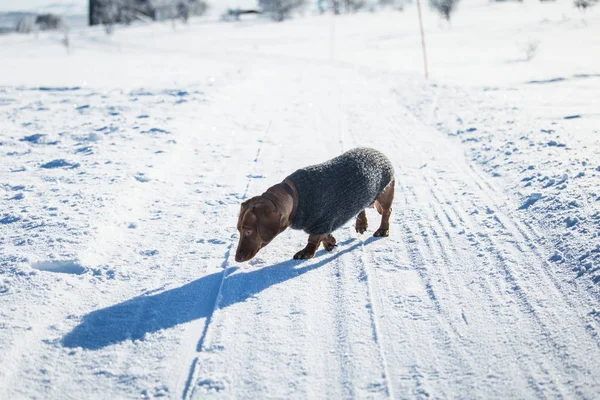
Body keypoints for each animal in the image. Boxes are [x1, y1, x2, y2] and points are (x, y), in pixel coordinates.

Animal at [233, 147, 394, 262]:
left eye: (248, 231)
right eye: (239, 230)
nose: (236, 258)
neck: (295, 198)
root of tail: (379, 153)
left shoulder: (321, 222)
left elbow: (313, 239)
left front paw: (306, 252)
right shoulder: (323, 223)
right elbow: (324, 235)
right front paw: (330, 242)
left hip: (385, 194)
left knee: (387, 212)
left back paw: (383, 230)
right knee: (361, 208)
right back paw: (361, 224)